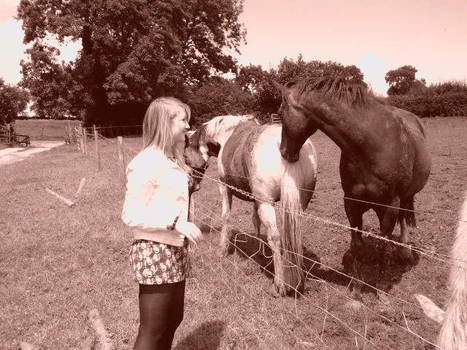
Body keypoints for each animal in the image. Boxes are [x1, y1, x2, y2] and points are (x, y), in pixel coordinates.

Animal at [184, 115, 318, 296]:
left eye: (185, 157)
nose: (191, 185)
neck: (225, 134)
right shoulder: (256, 200)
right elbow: (255, 221)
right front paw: (258, 252)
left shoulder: (224, 188)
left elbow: (226, 217)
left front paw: (222, 249)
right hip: (297, 205)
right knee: (293, 234)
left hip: (267, 204)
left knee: (275, 237)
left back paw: (279, 285)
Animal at [276, 76, 434, 298]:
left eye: (281, 113)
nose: (284, 152)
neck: (370, 146)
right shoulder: (351, 202)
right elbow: (357, 244)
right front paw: (357, 287)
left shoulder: (390, 206)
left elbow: (383, 245)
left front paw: (381, 288)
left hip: (404, 197)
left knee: (403, 218)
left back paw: (404, 252)